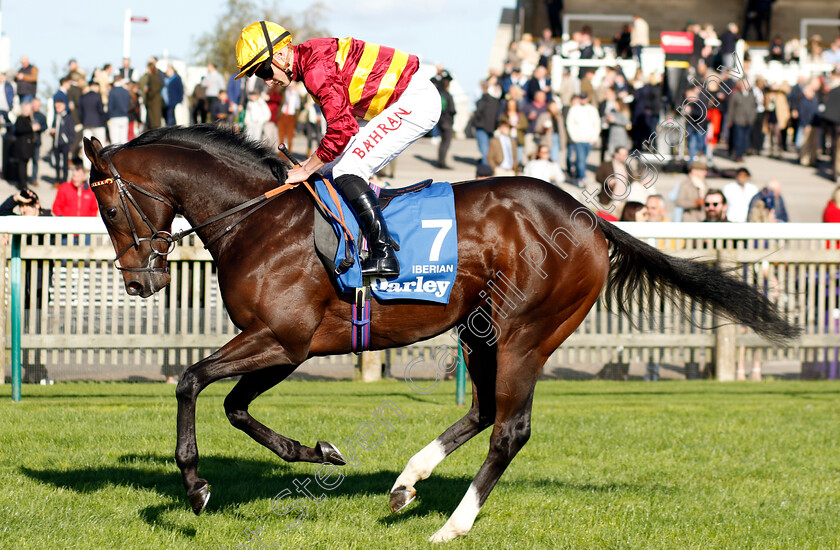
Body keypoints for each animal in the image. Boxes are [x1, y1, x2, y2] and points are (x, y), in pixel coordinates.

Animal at [82, 126, 796, 544]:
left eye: (110, 206)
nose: (142, 282)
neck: (259, 220)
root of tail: (590, 217)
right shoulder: (287, 345)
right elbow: (234, 406)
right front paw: (320, 452)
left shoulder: (282, 338)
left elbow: (190, 380)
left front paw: (194, 485)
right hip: (481, 332)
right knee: (483, 411)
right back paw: (407, 482)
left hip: (525, 332)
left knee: (510, 428)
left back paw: (453, 523)